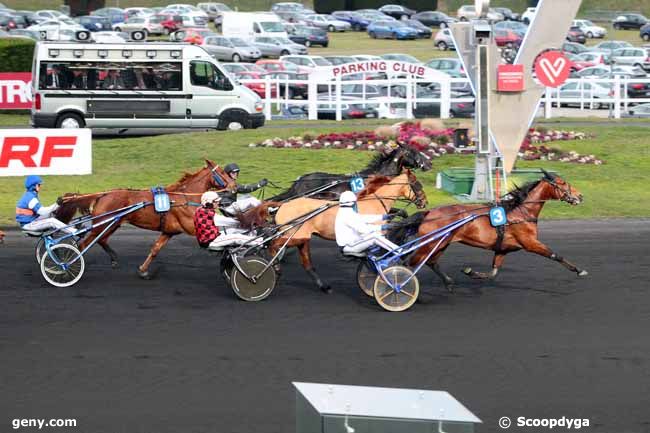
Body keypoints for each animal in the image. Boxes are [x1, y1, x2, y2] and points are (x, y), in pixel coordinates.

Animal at [53, 160, 235, 278]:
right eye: (222, 173)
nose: (234, 186)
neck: (183, 197)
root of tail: (102, 195)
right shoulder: (191, 227)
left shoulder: (169, 231)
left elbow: (155, 249)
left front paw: (143, 270)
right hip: (102, 224)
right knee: (83, 244)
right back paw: (71, 266)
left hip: (113, 224)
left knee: (101, 240)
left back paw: (113, 259)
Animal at [240, 170, 428, 292]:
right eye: (417, 184)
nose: (424, 202)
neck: (372, 202)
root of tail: (283, 205)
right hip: (294, 234)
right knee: (273, 244)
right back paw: (273, 268)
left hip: (303, 238)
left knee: (306, 263)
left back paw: (322, 285)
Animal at [390, 169, 588, 290]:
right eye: (563, 183)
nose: (580, 196)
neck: (521, 212)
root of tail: (429, 212)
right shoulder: (530, 243)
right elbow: (555, 255)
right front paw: (579, 270)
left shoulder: (503, 249)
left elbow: (493, 273)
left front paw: (471, 273)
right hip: (430, 244)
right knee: (408, 263)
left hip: (440, 244)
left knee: (431, 262)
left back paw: (448, 282)